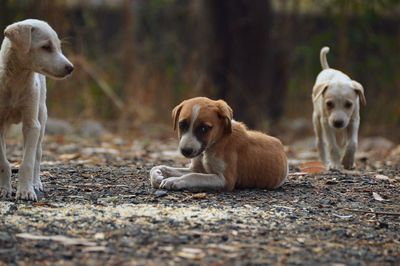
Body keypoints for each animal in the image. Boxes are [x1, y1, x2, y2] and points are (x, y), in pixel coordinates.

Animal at [0, 19, 73, 201]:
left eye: (59, 46)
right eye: (46, 47)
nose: (71, 68)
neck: (16, 81)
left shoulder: (32, 125)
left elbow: (27, 162)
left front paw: (26, 191)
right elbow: (3, 162)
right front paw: (4, 189)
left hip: (41, 117)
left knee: (37, 155)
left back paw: (36, 183)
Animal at [150, 97, 288, 191]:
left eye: (204, 128)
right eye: (182, 124)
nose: (186, 151)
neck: (216, 142)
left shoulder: (225, 180)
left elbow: (194, 176)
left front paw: (175, 181)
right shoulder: (196, 168)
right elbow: (162, 167)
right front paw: (157, 175)